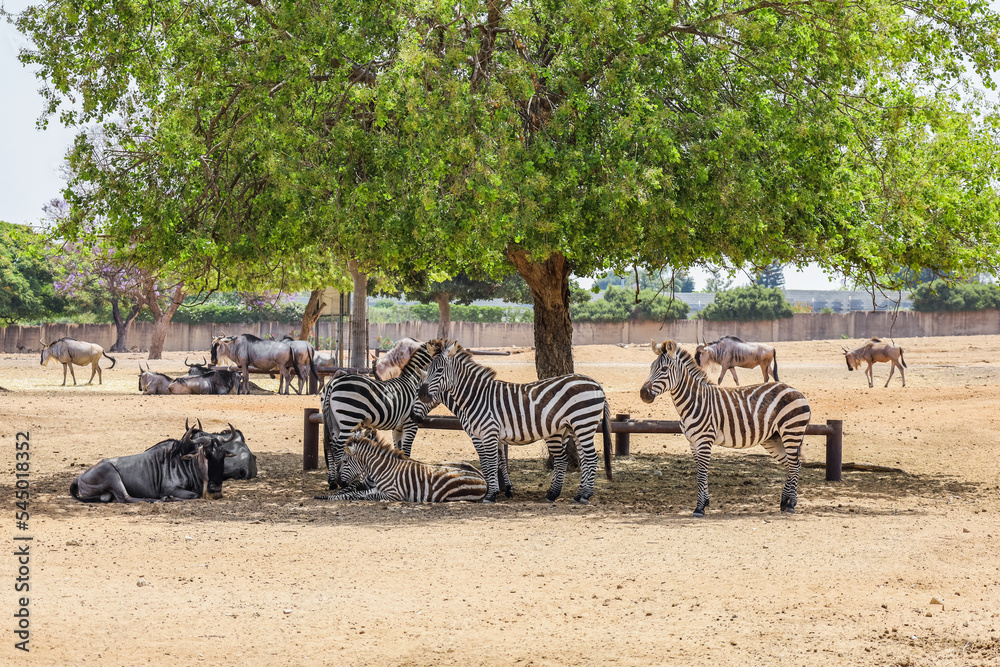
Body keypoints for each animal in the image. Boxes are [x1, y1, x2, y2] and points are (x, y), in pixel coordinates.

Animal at [312, 430, 484, 504]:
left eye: (346, 461)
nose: (339, 482)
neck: (382, 469)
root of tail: (482, 479)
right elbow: (355, 492)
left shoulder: (392, 494)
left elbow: (357, 495)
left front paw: (326, 497)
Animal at [320, 342, 446, 488]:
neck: (413, 382)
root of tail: (332, 383)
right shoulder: (410, 424)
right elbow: (406, 449)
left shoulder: (398, 427)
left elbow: (399, 449)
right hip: (349, 419)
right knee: (338, 447)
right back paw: (340, 480)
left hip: (333, 421)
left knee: (329, 445)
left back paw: (332, 481)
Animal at [414, 342, 608, 504]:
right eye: (428, 370)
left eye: (439, 370)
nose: (422, 395)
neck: (475, 397)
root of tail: (595, 383)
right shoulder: (488, 435)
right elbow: (494, 462)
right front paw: (501, 490)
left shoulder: (487, 432)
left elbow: (491, 463)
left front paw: (491, 494)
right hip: (574, 427)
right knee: (583, 459)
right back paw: (577, 494)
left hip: (582, 423)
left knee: (590, 458)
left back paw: (584, 495)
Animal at [640, 340, 812, 516]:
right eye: (651, 367)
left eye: (664, 369)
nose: (643, 394)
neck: (694, 401)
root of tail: (795, 390)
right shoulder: (693, 442)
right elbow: (700, 473)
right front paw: (705, 503)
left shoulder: (704, 440)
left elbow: (701, 475)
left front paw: (699, 508)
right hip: (774, 438)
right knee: (793, 465)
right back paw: (785, 502)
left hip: (791, 432)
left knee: (794, 465)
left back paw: (792, 504)